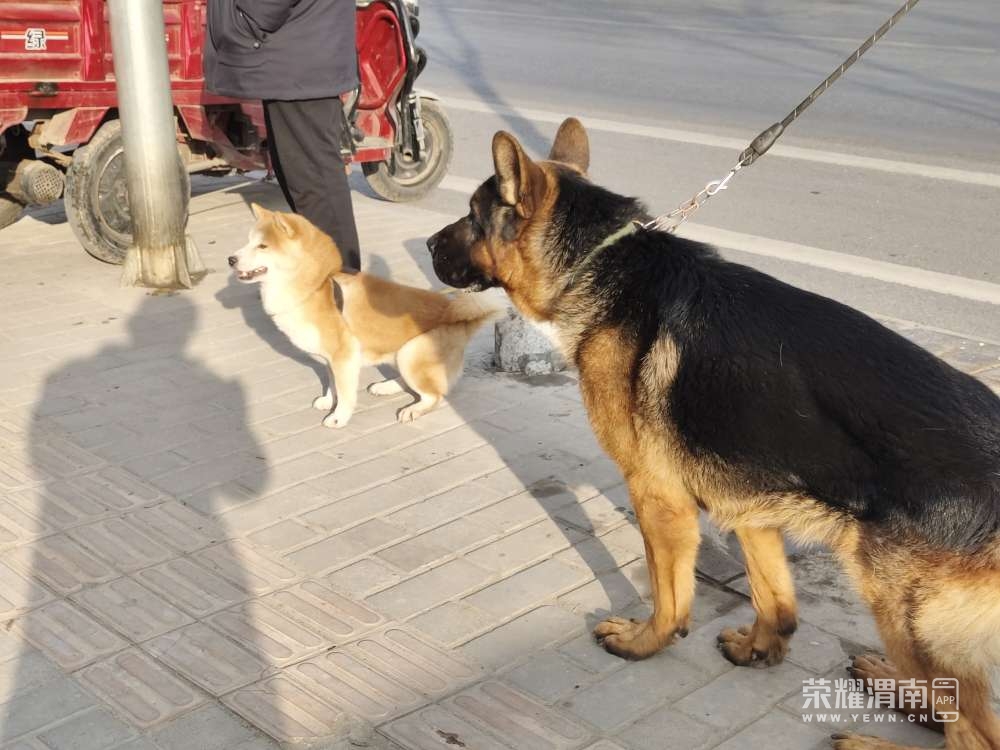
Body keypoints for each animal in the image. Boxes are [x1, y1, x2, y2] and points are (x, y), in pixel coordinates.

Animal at [229, 204, 501, 427]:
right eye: (247, 242)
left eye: (262, 246)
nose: (230, 259)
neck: (316, 288)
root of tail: (462, 319)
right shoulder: (331, 359)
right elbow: (332, 385)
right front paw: (328, 401)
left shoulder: (343, 356)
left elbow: (345, 393)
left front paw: (338, 417)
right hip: (400, 354)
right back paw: (386, 386)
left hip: (411, 352)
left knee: (434, 395)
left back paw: (413, 409)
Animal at [427, 119, 1000, 750]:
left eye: (471, 215)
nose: (427, 244)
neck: (602, 262)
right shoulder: (751, 509)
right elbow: (776, 602)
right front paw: (759, 649)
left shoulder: (659, 499)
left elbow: (670, 595)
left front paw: (643, 642)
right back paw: (892, 687)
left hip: (907, 618)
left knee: (976, 734)